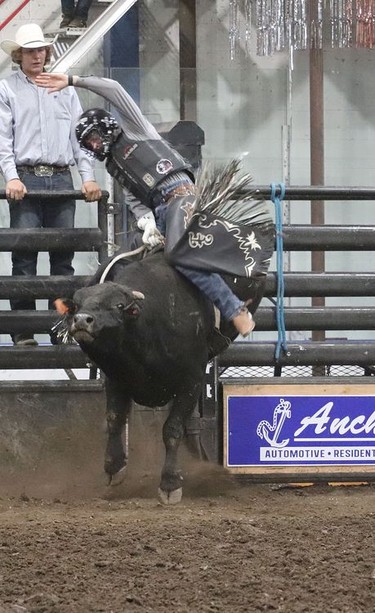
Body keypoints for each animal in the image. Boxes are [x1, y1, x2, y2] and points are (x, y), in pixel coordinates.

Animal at [62, 251, 268, 504]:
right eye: (76, 305)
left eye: (118, 305)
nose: (82, 320)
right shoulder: (116, 378)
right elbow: (114, 419)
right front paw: (114, 467)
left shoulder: (191, 381)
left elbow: (172, 430)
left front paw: (170, 484)